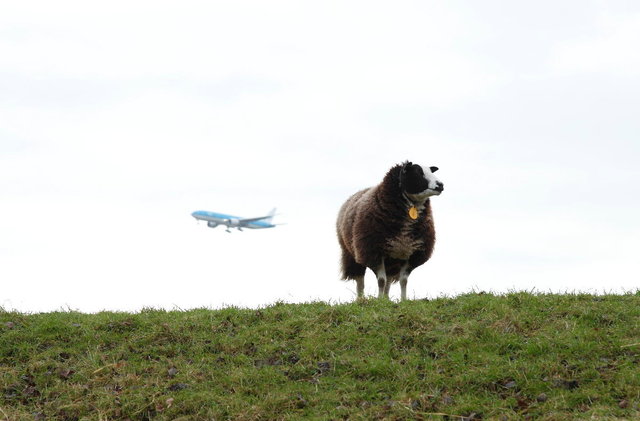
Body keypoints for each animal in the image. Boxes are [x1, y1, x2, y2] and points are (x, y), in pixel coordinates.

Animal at [336, 161, 444, 298]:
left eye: (430, 171)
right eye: (418, 172)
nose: (440, 185)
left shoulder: (411, 253)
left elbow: (403, 280)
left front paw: (403, 300)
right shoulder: (374, 252)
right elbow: (381, 280)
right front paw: (379, 300)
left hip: (393, 259)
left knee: (388, 280)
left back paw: (387, 298)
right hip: (351, 253)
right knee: (360, 280)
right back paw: (361, 299)